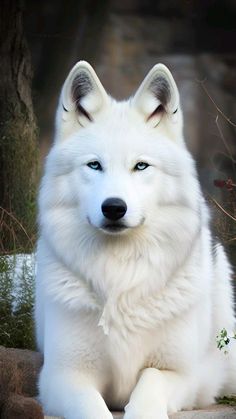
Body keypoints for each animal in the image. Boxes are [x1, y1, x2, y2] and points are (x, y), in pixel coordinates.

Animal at [35, 60, 236, 419]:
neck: (120, 274)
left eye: (141, 166)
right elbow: (92, 409)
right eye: (94, 165)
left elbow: (149, 385)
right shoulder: (61, 375)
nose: (114, 207)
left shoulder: (180, 374)